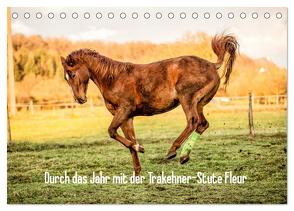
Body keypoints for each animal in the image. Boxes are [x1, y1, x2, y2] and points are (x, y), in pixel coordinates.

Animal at [60, 34, 238, 176]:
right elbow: (128, 141)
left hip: (187, 99)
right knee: (202, 124)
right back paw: (184, 156)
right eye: (65, 78)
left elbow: (112, 132)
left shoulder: (124, 110)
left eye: (72, 74)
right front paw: (137, 171)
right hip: (199, 103)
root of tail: (212, 65)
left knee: (193, 121)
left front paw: (141, 148)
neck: (114, 78)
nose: (79, 99)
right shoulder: (126, 118)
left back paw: (172, 152)